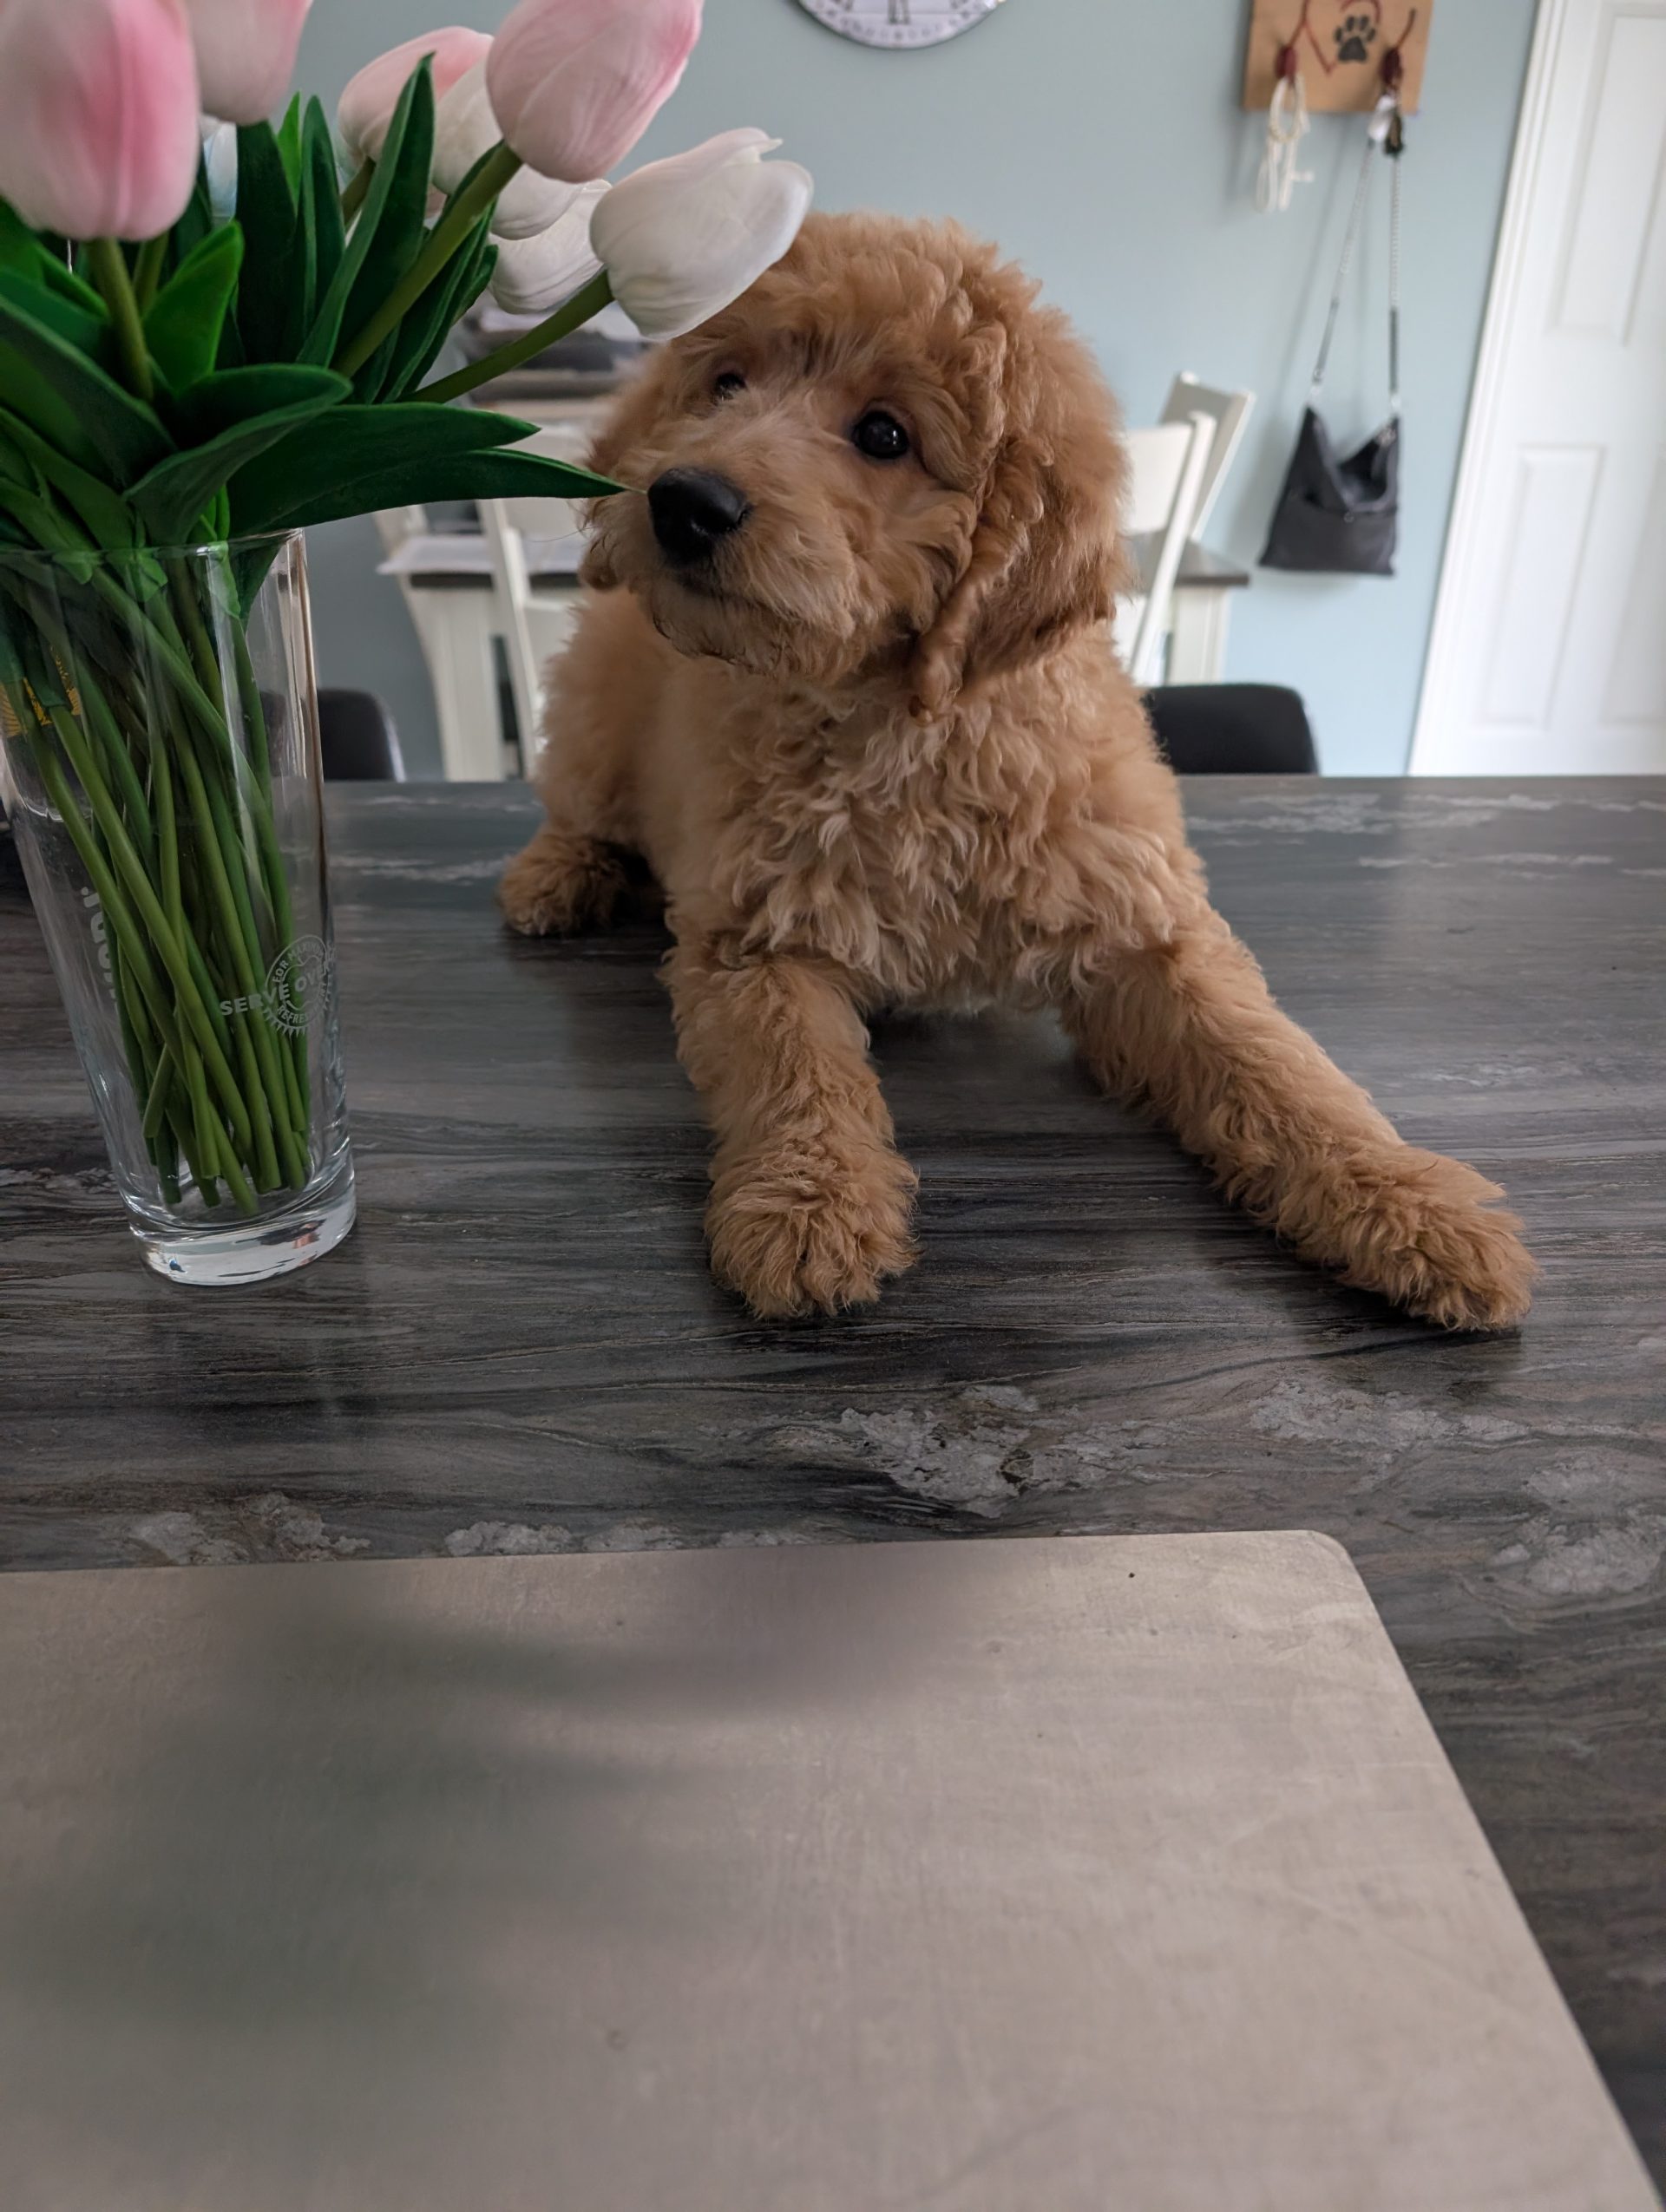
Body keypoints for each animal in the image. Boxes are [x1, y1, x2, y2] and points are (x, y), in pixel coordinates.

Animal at [501, 212, 1536, 1329]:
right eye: (725, 382)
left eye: (885, 436)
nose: (684, 499)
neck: (906, 730)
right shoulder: (752, 937)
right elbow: (793, 1068)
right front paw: (809, 1205)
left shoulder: (1147, 926)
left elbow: (1276, 1062)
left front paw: (1413, 1205)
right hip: (599, 708)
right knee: (576, 802)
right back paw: (554, 877)